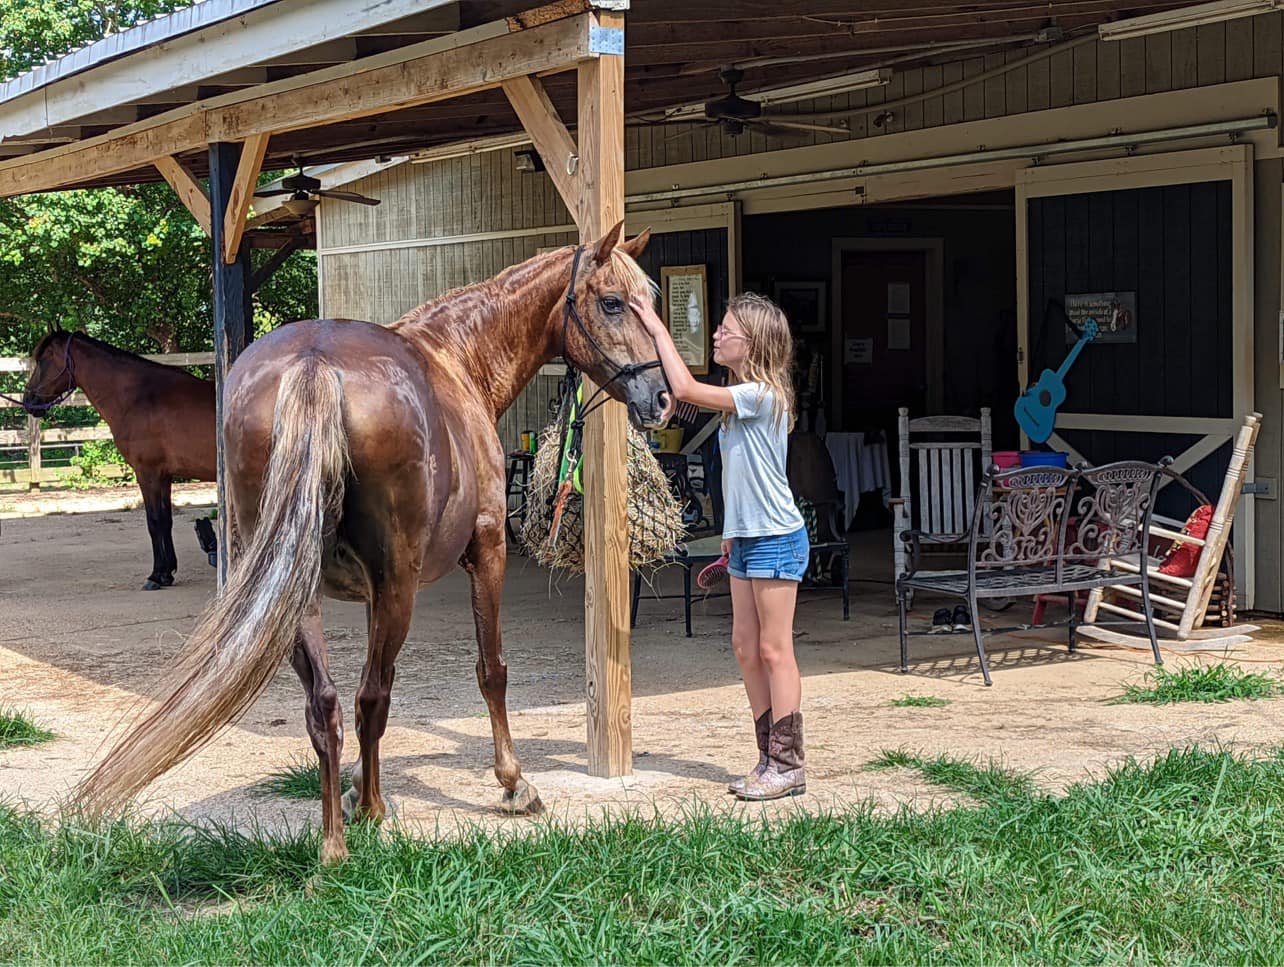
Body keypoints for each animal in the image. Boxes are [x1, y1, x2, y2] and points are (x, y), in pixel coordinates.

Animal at [21, 328, 216, 588]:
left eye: (43, 360)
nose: (29, 401)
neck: (139, 397)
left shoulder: (148, 473)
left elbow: (154, 522)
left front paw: (156, 575)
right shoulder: (164, 476)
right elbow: (166, 520)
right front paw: (167, 573)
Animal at [77, 224, 672, 857]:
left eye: (651, 300)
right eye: (613, 302)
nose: (662, 397)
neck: (458, 358)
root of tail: (314, 363)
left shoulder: (367, 593)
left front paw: (361, 782)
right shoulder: (486, 552)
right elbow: (490, 670)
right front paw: (513, 785)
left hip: (298, 594)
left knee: (329, 703)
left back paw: (336, 839)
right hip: (397, 589)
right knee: (369, 697)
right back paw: (370, 814)